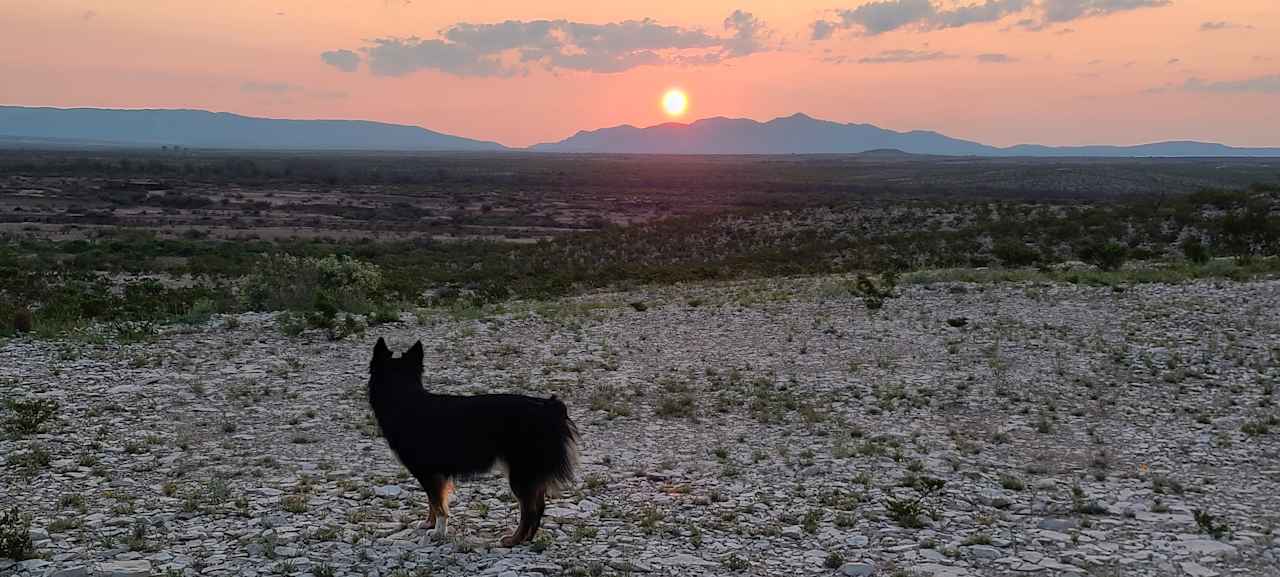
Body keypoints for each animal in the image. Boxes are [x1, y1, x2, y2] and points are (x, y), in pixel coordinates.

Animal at [366, 337, 576, 547]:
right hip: (530, 472)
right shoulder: (434, 474)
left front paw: (438, 532)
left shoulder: (429, 473)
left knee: (529, 509)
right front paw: (428, 524)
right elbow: (433, 501)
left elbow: (438, 504)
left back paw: (513, 540)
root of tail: (549, 407)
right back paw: (527, 538)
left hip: (521, 473)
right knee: (538, 506)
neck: (404, 398)